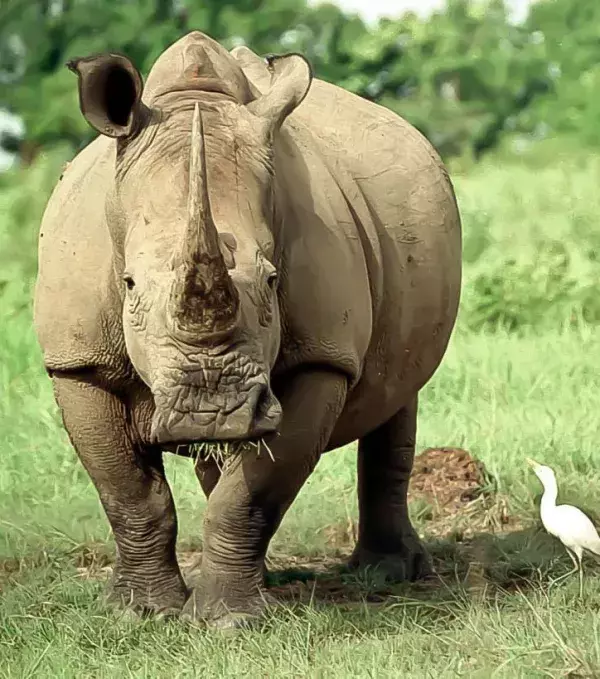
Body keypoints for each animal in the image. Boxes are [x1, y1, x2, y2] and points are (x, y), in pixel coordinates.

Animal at [33, 31, 462, 628]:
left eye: (273, 279)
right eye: (129, 285)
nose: (212, 410)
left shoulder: (321, 356)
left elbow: (252, 494)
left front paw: (228, 623)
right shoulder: (77, 361)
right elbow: (129, 492)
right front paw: (139, 614)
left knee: (400, 394)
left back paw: (388, 574)